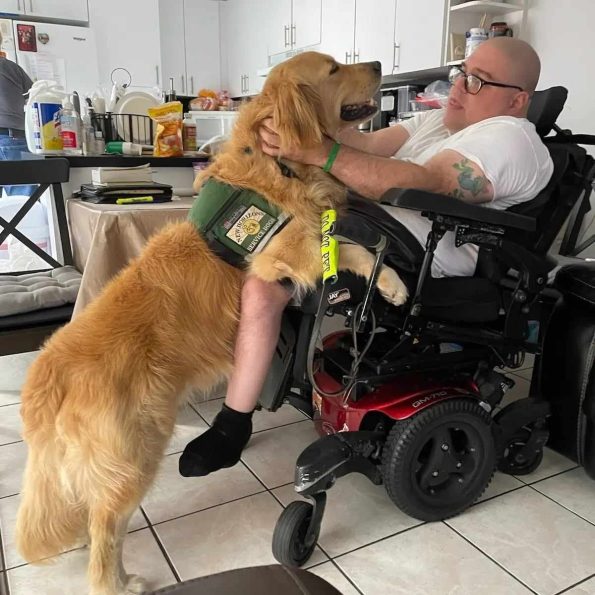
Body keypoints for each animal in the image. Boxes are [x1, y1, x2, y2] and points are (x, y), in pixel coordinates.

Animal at [15, 52, 410, 595]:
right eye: (332, 69)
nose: (376, 62)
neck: (280, 163)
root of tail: (46, 376)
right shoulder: (283, 254)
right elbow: (351, 247)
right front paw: (391, 281)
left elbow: (351, 243)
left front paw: (389, 283)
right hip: (134, 455)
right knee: (106, 532)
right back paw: (120, 581)